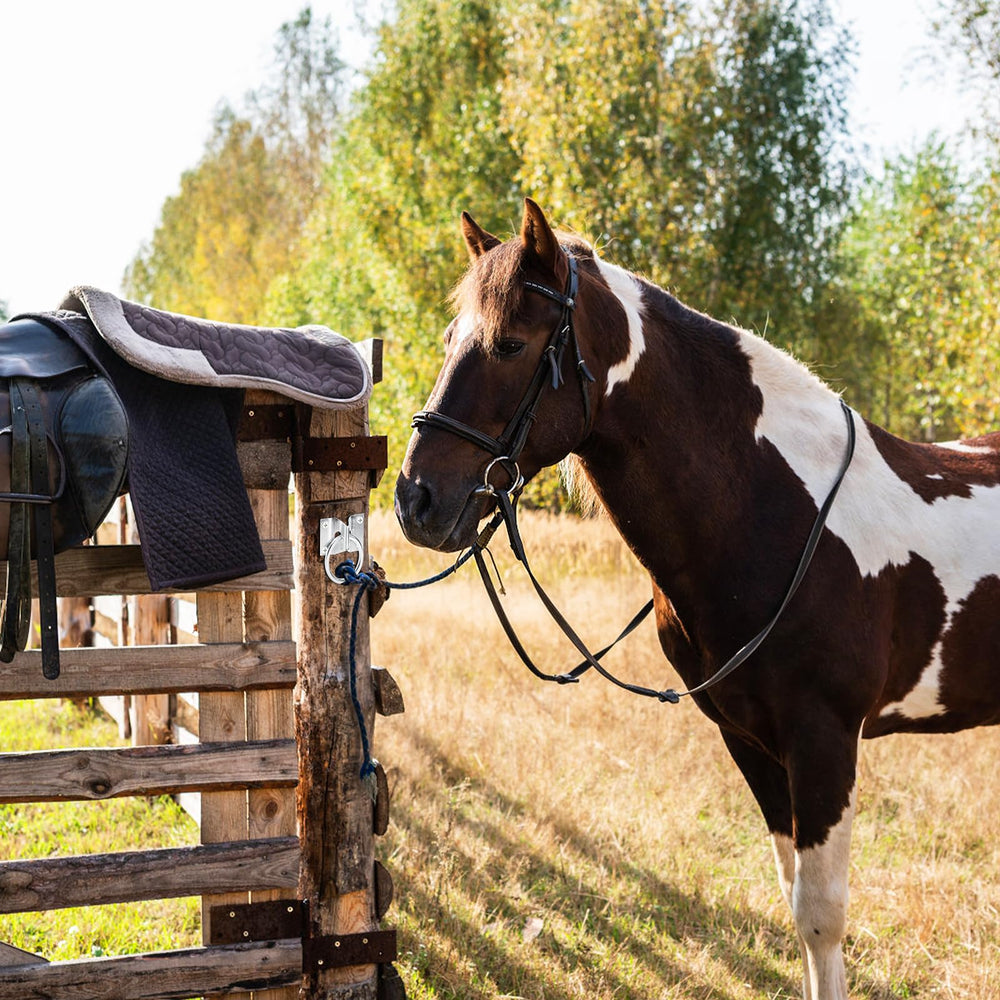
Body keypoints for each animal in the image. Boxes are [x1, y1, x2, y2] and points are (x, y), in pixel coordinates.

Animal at [393, 197, 1000, 1000]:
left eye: (512, 344)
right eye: (449, 339)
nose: (416, 500)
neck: (779, 513)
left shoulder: (825, 739)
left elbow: (823, 916)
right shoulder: (751, 741)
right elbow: (796, 905)